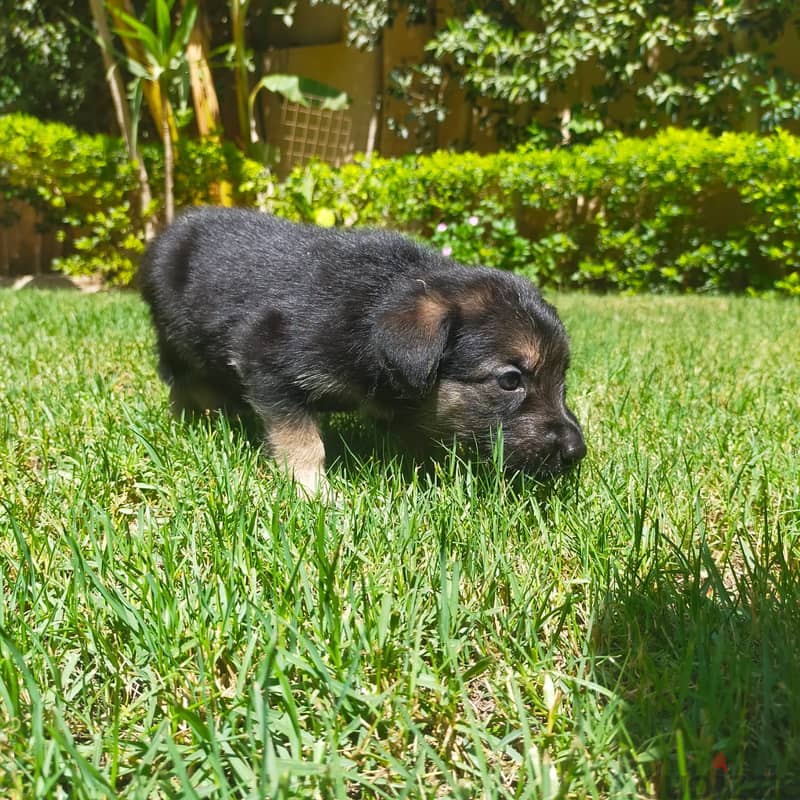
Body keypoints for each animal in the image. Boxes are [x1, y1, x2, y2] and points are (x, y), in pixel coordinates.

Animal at [141, 206, 584, 494]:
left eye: (562, 376)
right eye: (510, 380)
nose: (575, 452)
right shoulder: (267, 360)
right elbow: (303, 442)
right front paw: (314, 493)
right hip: (178, 345)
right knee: (184, 385)